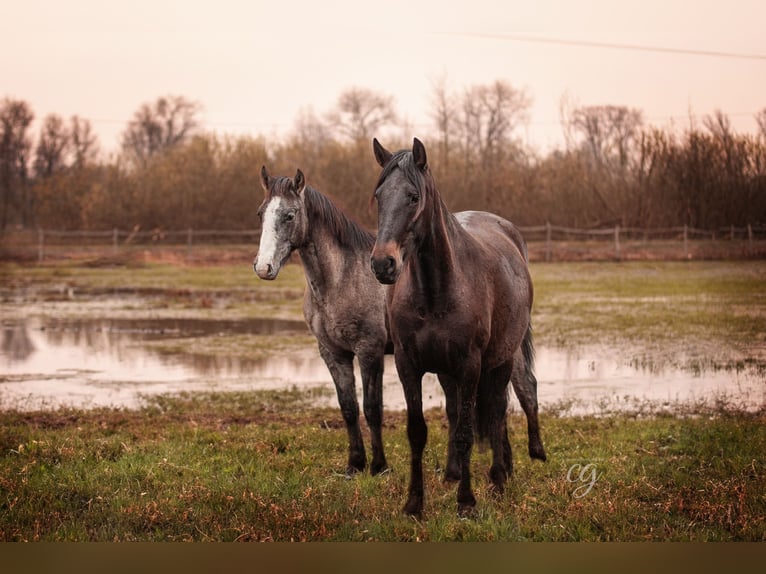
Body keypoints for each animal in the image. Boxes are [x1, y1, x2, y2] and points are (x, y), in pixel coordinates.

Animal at [255, 168, 390, 476]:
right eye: (260, 213)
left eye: (290, 215)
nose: (263, 268)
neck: (344, 277)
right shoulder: (332, 352)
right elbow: (348, 407)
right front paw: (355, 465)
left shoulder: (370, 351)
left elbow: (372, 408)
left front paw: (379, 467)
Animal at [370, 138, 544, 516]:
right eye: (379, 196)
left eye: (413, 197)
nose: (382, 263)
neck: (435, 292)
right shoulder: (408, 366)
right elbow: (417, 432)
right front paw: (414, 504)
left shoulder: (469, 366)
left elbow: (466, 431)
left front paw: (466, 502)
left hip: (501, 360)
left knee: (497, 410)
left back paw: (498, 478)